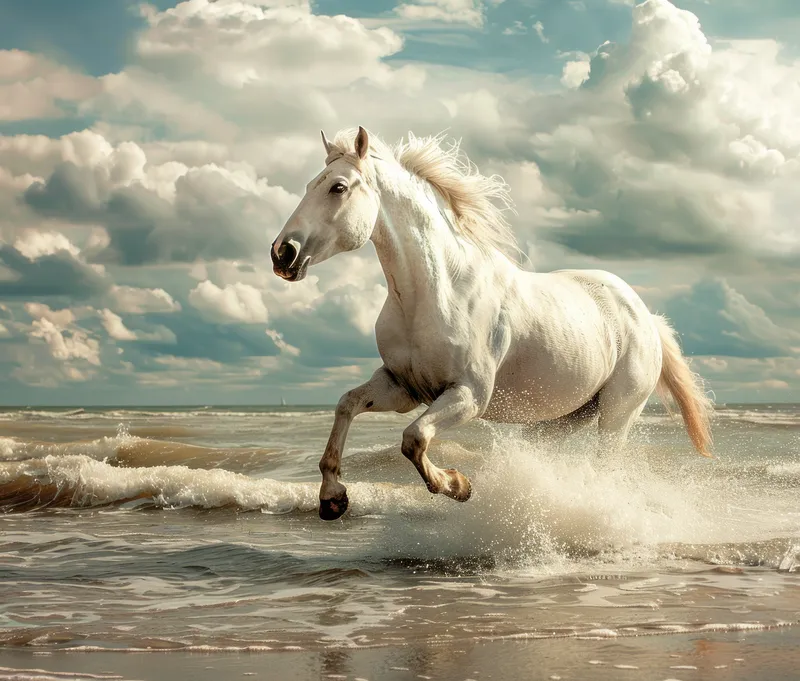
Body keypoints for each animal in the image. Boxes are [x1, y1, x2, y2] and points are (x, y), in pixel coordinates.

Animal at [271, 126, 713, 521]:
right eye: (310, 184)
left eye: (338, 187)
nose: (282, 253)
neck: (434, 292)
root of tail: (645, 317)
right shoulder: (402, 387)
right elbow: (347, 404)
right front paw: (332, 498)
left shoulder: (468, 394)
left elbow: (414, 439)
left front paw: (457, 485)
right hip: (559, 421)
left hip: (618, 415)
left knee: (605, 466)